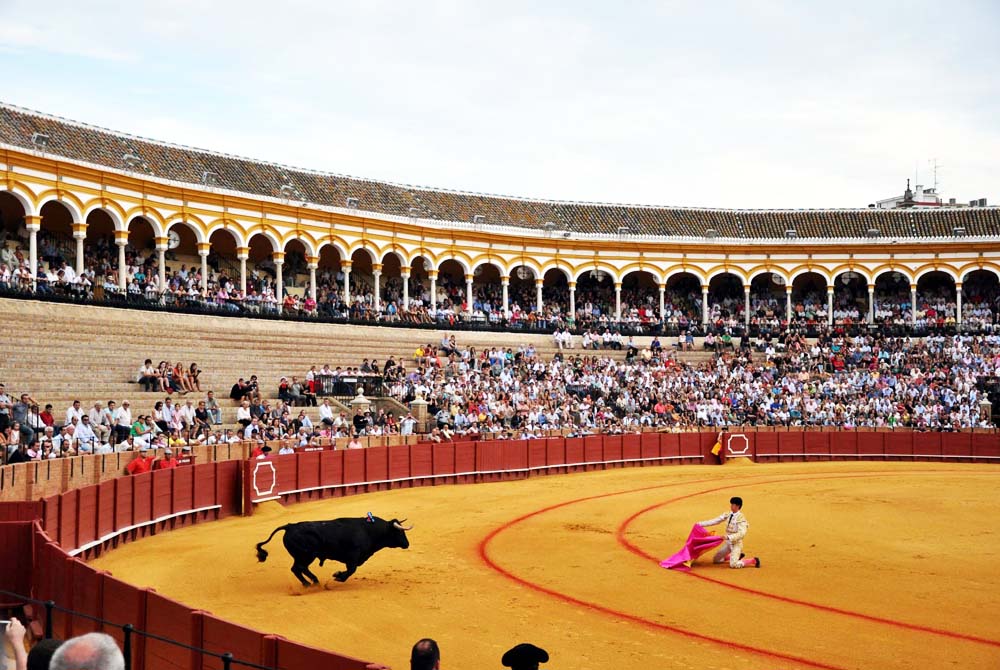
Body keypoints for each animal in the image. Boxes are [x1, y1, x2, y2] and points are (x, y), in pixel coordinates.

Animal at [262, 516, 414, 584]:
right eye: (400, 532)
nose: (407, 544)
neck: (369, 530)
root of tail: (290, 526)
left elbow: (351, 570)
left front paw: (338, 575)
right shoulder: (353, 556)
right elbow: (351, 570)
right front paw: (338, 576)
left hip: (301, 556)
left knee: (297, 569)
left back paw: (310, 583)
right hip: (306, 555)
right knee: (299, 568)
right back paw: (312, 582)